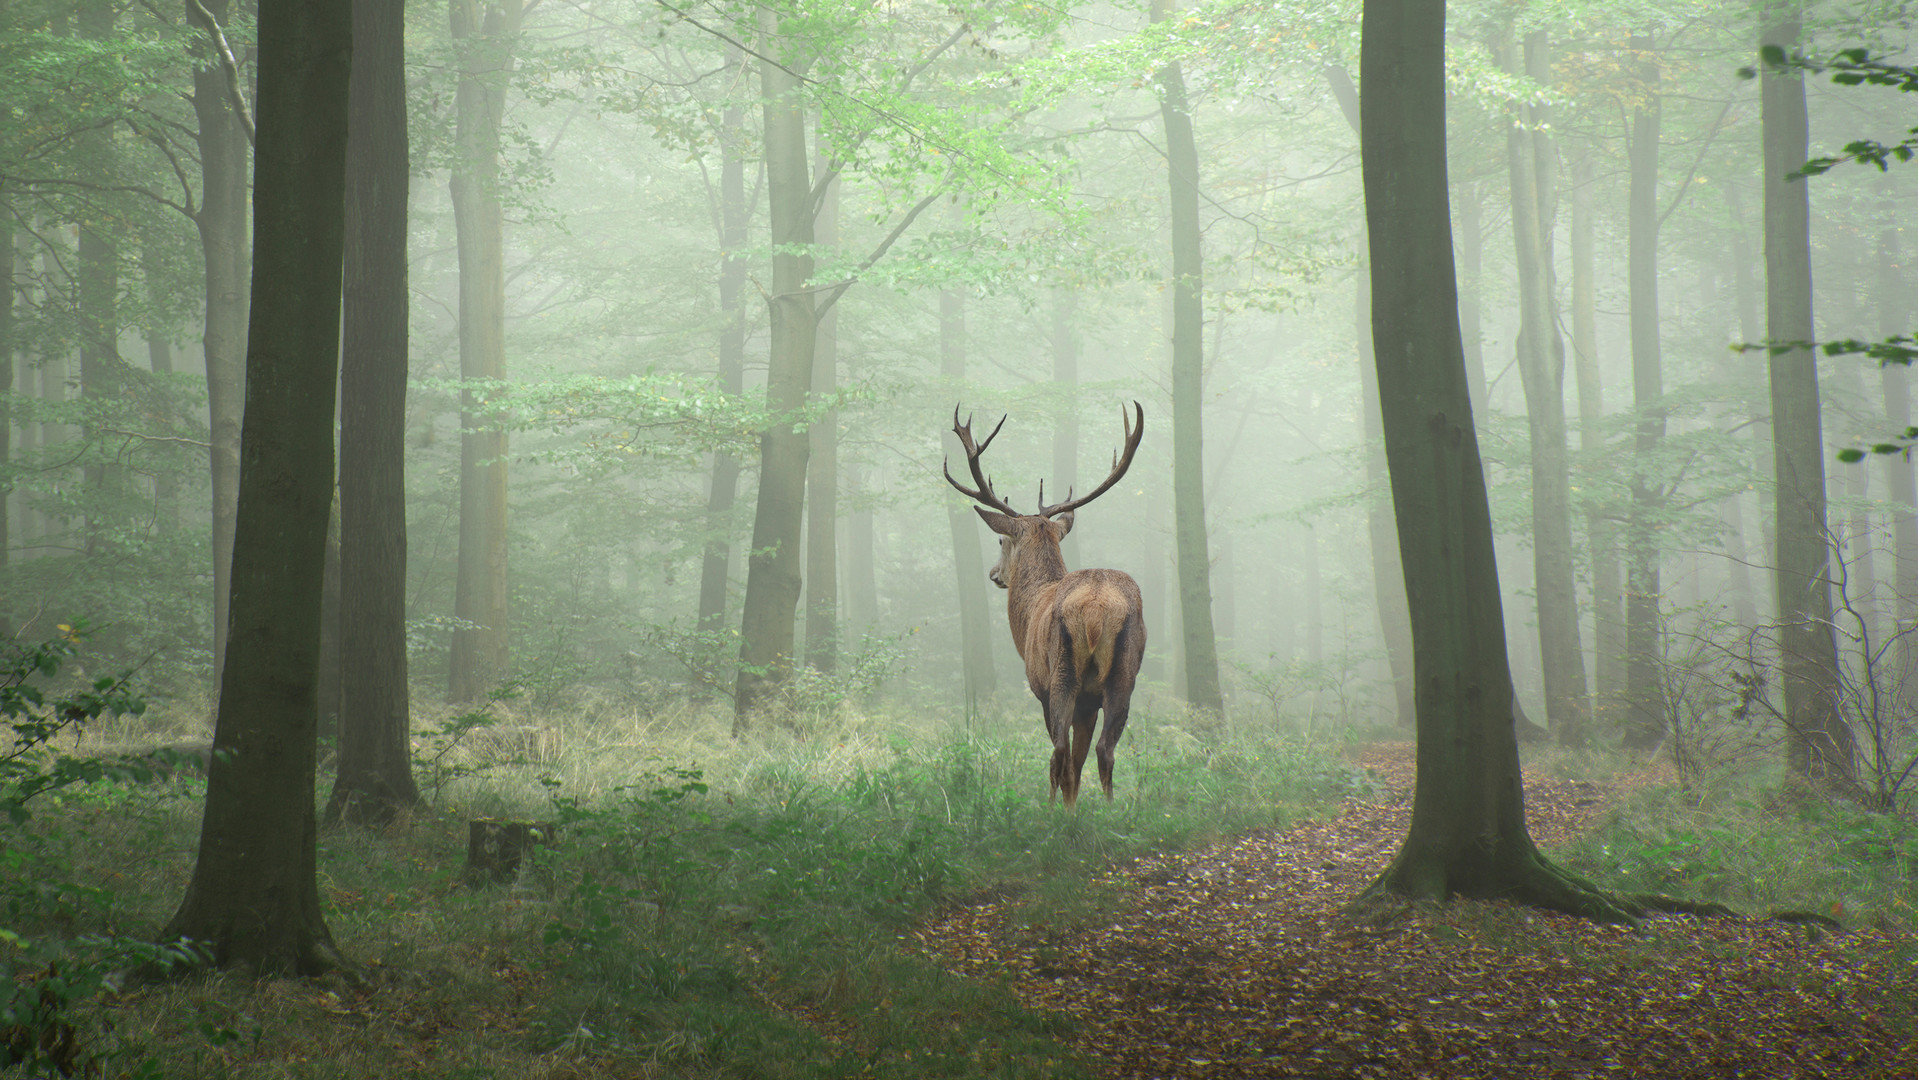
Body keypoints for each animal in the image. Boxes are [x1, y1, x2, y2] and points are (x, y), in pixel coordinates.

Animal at [944, 402, 1148, 809]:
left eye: (1001, 541)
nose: (993, 573)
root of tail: (1096, 610)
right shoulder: (1088, 703)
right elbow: (1080, 761)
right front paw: (1075, 807)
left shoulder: (1038, 684)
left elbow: (1064, 757)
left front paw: (1063, 809)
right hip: (1124, 673)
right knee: (1105, 750)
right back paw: (1109, 811)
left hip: (1061, 673)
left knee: (1058, 753)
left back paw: (1052, 813)